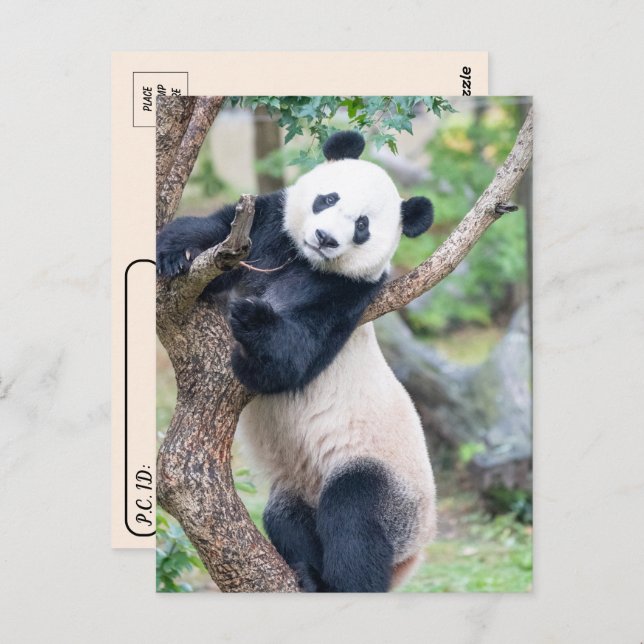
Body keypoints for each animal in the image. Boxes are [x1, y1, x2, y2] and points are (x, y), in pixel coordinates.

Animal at [157, 130, 437, 592]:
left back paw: (337, 583)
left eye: (362, 226)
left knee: (354, 516)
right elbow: (214, 231)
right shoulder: (268, 230)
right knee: (284, 514)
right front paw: (174, 254)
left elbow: (289, 360)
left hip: (391, 485)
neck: (306, 261)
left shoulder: (348, 295)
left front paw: (252, 319)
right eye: (328, 198)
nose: (325, 237)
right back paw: (307, 571)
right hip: (298, 486)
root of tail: (411, 559)